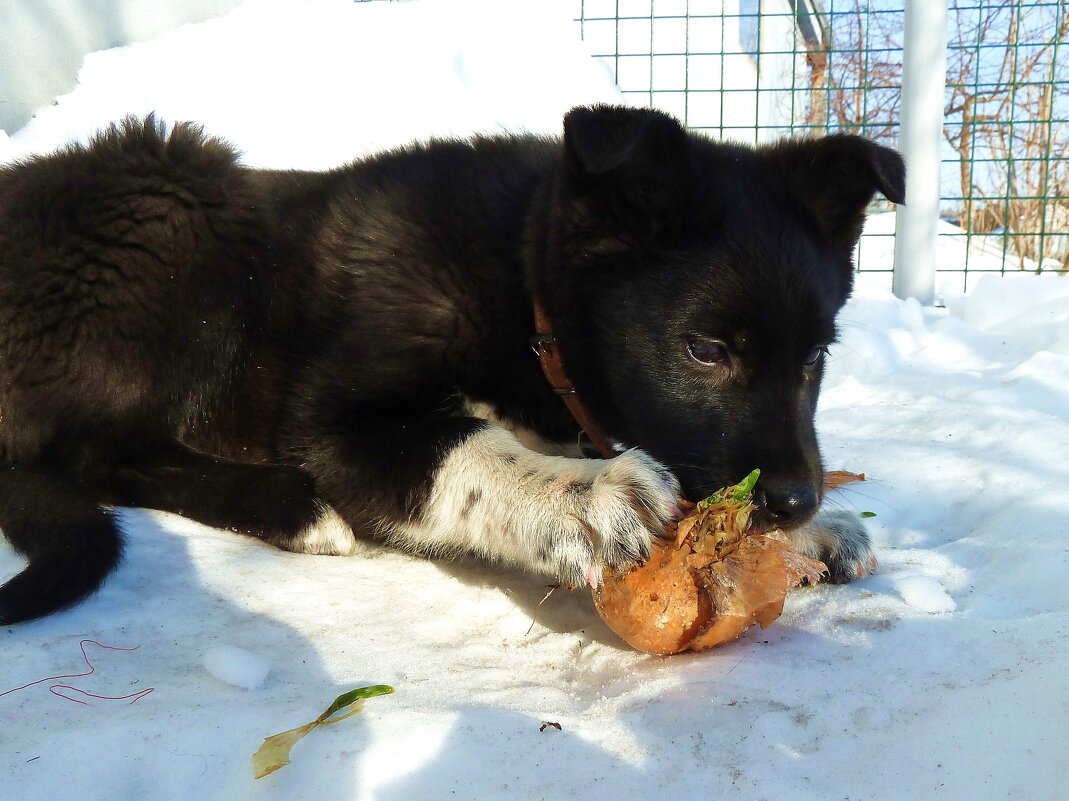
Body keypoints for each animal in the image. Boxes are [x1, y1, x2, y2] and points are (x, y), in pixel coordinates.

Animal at [0, 106, 902, 620]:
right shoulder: (331, 421)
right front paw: (582, 496)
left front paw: (814, 528)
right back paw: (291, 505)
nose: (793, 499)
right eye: (705, 351)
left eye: (815, 356)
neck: (522, 281)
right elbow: (464, 446)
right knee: (102, 454)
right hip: (180, 193)